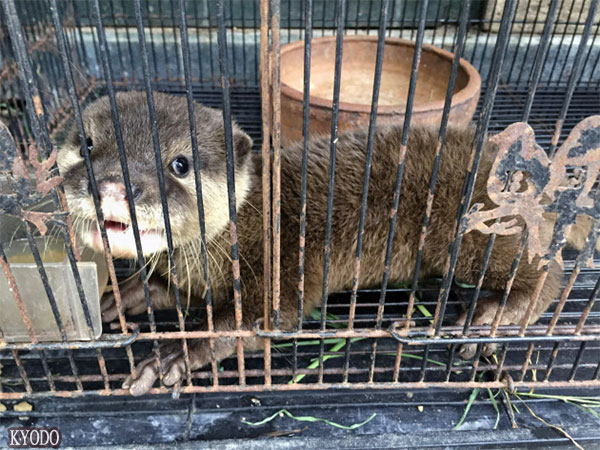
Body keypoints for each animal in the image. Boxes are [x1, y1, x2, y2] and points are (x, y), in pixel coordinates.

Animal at [57, 91, 593, 396]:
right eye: (87, 144)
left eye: (179, 164)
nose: (112, 184)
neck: (238, 228)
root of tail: (540, 175)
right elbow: (165, 290)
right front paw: (117, 297)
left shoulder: (277, 267)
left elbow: (253, 321)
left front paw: (168, 356)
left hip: (480, 228)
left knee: (550, 274)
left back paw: (485, 319)